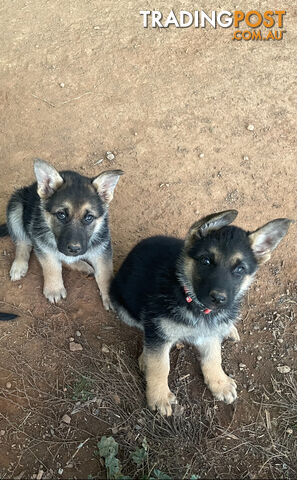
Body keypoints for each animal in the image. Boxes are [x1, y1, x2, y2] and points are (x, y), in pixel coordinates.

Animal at [0, 158, 122, 308]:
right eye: (61, 215)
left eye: (89, 218)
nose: (74, 249)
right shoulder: (44, 246)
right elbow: (52, 267)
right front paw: (54, 289)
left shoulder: (102, 248)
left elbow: (105, 273)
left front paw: (112, 296)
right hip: (15, 205)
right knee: (23, 242)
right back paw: (19, 265)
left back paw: (82, 265)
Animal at [110, 211, 290, 416]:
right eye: (206, 261)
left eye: (240, 269)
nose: (218, 299)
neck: (192, 302)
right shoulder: (158, 331)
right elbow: (160, 365)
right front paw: (159, 395)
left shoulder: (210, 332)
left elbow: (214, 357)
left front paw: (219, 382)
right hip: (124, 307)